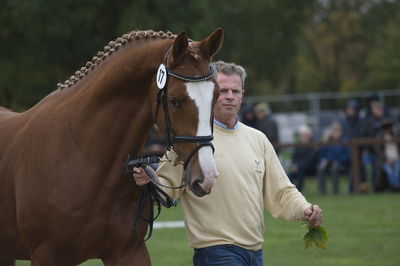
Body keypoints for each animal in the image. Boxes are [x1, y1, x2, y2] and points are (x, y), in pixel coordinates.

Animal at [0, 28, 223, 264]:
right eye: (174, 100)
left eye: (216, 96)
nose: (206, 177)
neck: (84, 154)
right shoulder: (47, 255)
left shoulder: (129, 252)